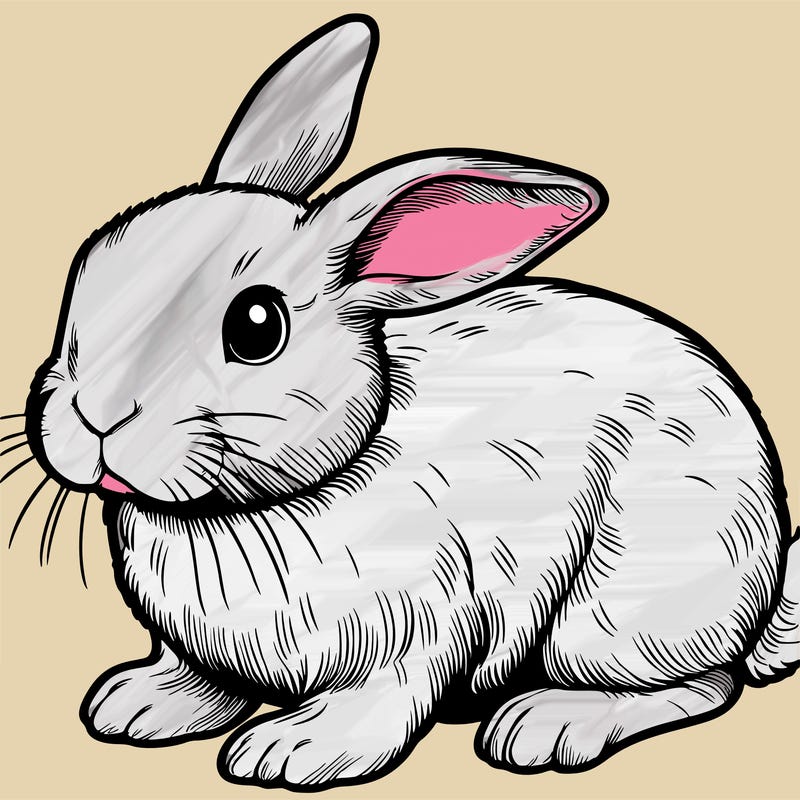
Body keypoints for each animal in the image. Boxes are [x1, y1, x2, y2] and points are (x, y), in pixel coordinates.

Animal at [17, 12, 799, 792]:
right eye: (89, 269)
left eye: (257, 326)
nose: (95, 417)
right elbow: (202, 679)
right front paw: (137, 704)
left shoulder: (420, 626)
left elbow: (381, 701)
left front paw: (291, 751)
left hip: (619, 614)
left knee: (703, 684)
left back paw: (546, 725)